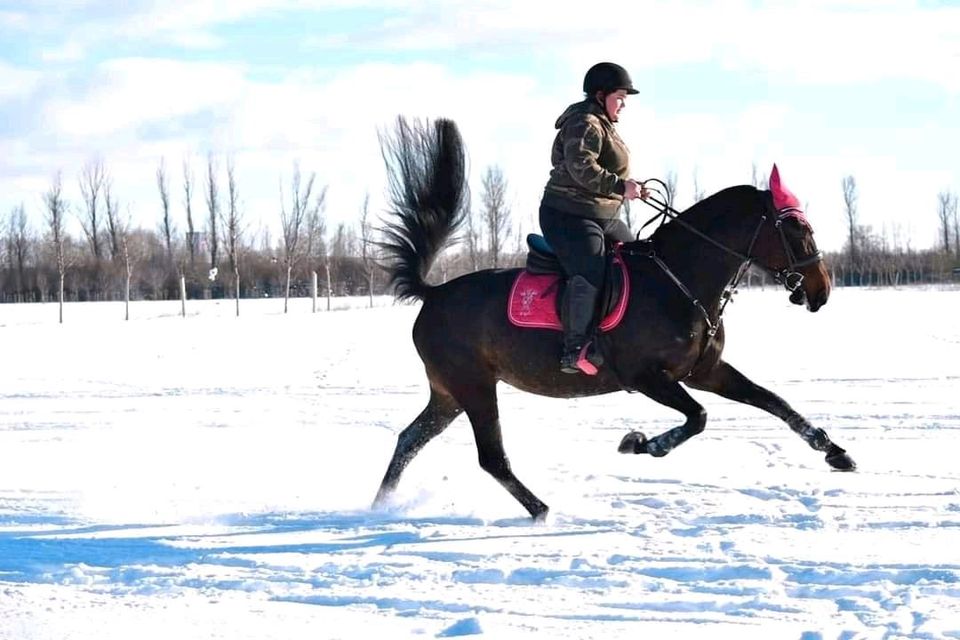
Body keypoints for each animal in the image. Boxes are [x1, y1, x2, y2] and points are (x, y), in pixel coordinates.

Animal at [370, 116, 856, 520]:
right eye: (796, 227)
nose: (821, 291)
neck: (677, 279)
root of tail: (434, 293)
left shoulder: (705, 370)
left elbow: (775, 402)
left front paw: (835, 452)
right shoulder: (647, 376)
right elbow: (698, 418)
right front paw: (641, 443)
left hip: (449, 394)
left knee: (409, 439)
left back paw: (379, 506)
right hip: (474, 387)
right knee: (489, 457)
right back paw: (541, 510)